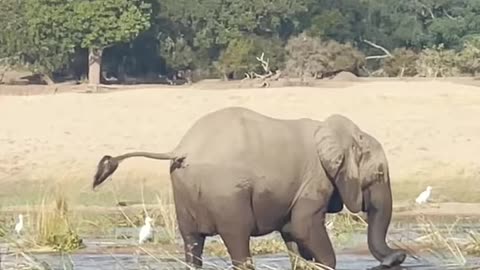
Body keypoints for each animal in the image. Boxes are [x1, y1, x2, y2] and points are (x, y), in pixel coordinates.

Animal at [93, 106, 404, 268]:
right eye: (379, 173)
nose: (399, 257)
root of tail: (182, 149)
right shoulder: (316, 180)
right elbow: (304, 227)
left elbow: (293, 233)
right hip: (227, 194)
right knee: (238, 241)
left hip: (183, 188)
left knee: (192, 243)